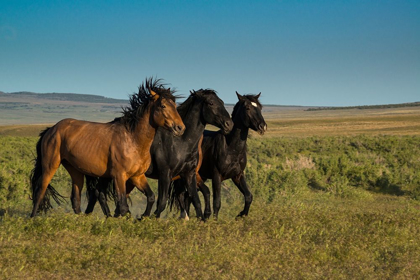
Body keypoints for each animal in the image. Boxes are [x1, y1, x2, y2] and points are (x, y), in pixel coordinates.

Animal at [30, 77, 185, 218]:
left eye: (174, 105)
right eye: (163, 106)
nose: (180, 128)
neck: (133, 140)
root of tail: (51, 129)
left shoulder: (137, 176)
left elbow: (151, 197)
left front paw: (143, 217)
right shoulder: (119, 176)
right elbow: (122, 206)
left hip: (75, 170)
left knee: (76, 199)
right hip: (50, 166)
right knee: (39, 192)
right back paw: (33, 219)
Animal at [83, 89, 231, 219]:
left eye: (222, 102)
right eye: (211, 103)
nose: (229, 124)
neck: (181, 143)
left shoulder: (189, 174)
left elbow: (196, 200)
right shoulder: (165, 174)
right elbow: (162, 202)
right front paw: (147, 218)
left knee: (103, 194)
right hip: (110, 174)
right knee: (99, 193)